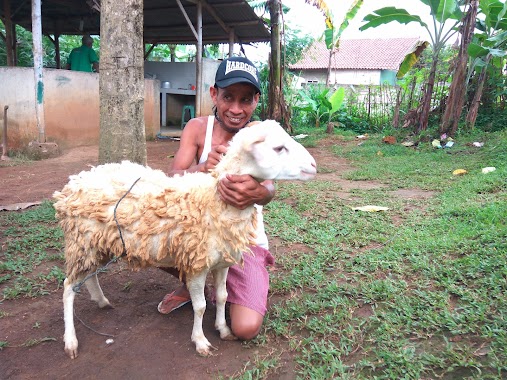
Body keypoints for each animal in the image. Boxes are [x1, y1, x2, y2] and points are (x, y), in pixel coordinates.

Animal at [54, 119, 318, 360]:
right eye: (279, 148)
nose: (314, 166)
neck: (214, 199)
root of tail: (74, 182)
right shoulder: (197, 264)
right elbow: (200, 306)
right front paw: (200, 341)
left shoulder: (223, 261)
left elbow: (222, 296)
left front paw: (223, 329)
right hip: (81, 242)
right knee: (68, 288)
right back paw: (71, 341)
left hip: (96, 243)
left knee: (89, 276)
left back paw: (101, 301)